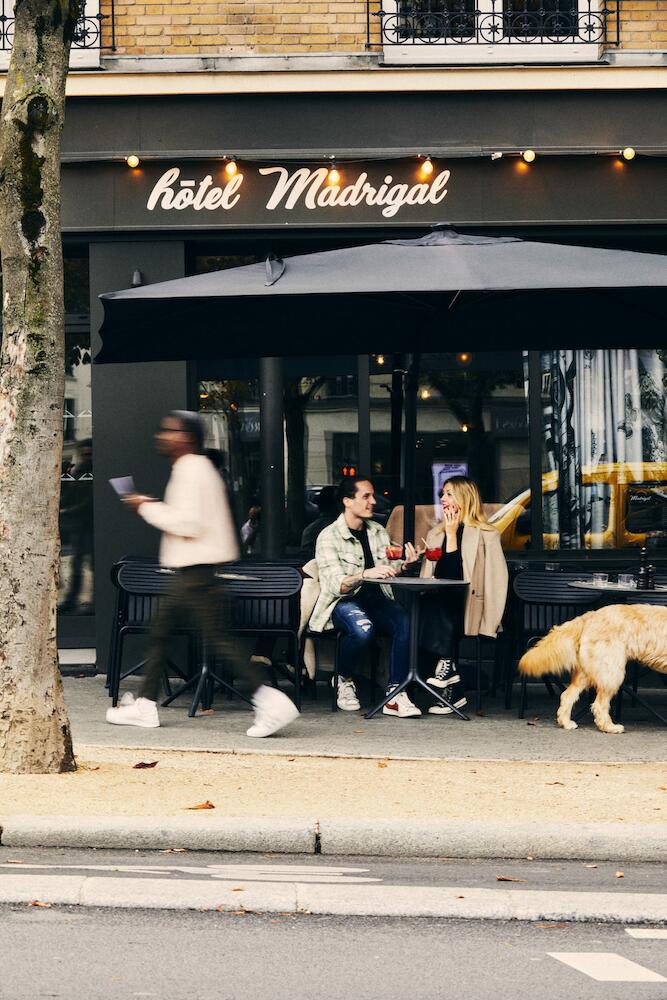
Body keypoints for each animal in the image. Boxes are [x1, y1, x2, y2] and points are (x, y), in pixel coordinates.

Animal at [520, 600, 667, 736]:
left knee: (567, 695)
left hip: (587, 672)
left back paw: (566, 723)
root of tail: (591, 614)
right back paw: (609, 727)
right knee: (599, 704)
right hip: (611, 671)